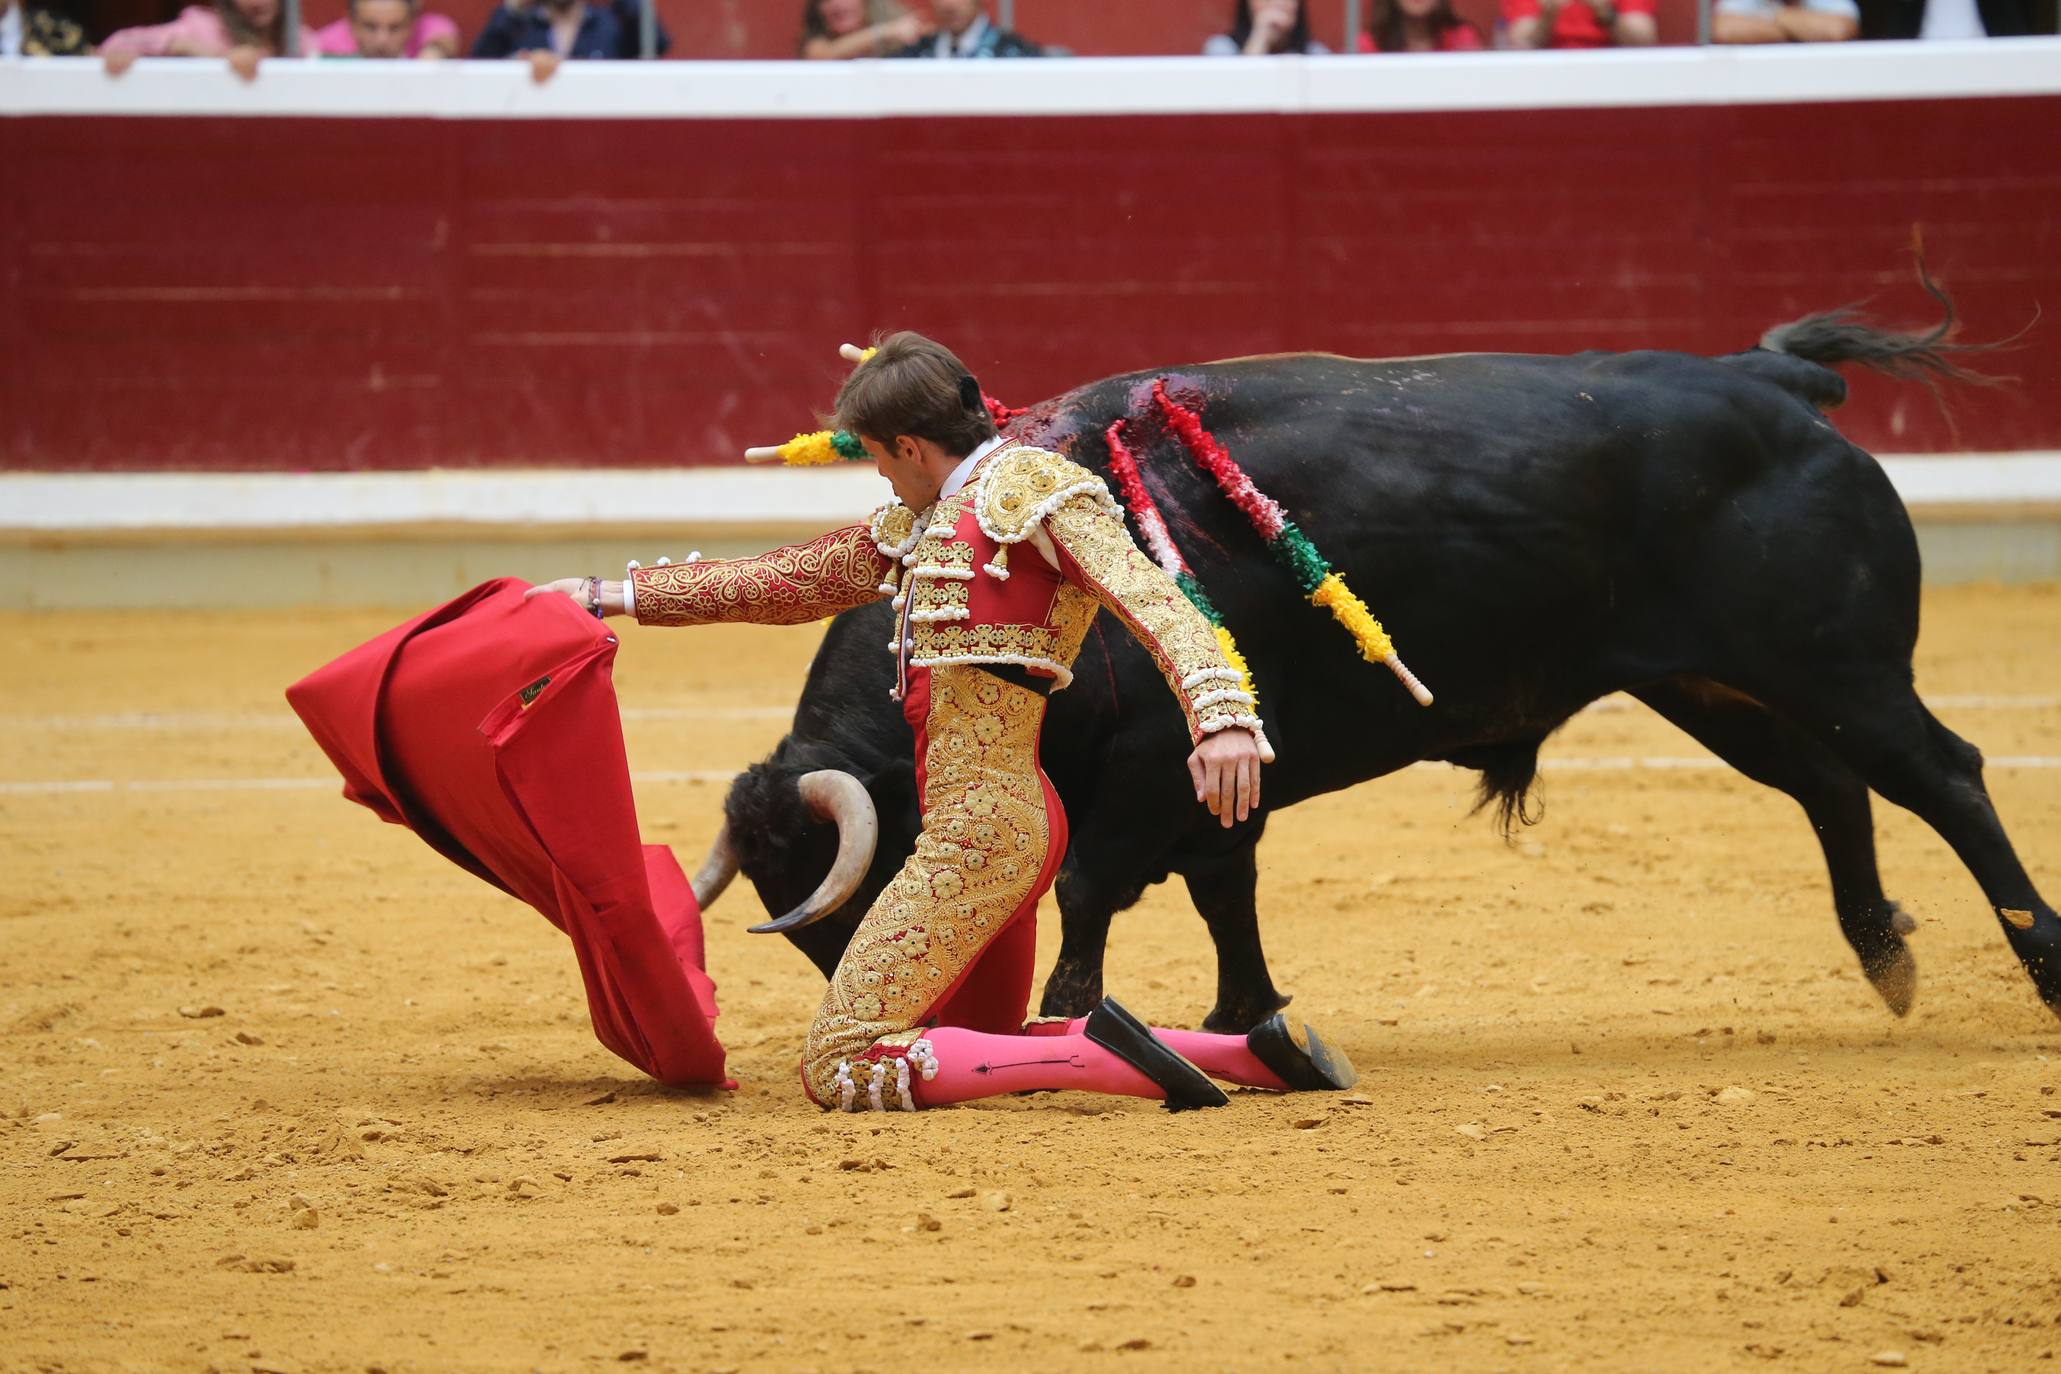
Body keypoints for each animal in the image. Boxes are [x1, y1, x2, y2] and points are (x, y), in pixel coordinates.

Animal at [713, 323, 2061, 1029]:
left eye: (845, 900)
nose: (913, 1017)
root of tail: (1770, 378)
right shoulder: (1211, 789)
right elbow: (1227, 891)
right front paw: (1241, 1017)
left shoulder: (1153, 771)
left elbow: (1096, 886)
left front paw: (1067, 1014)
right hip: (1712, 688)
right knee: (1832, 790)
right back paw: (1885, 957)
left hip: (1841, 670)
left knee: (1945, 778)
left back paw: (2038, 960)